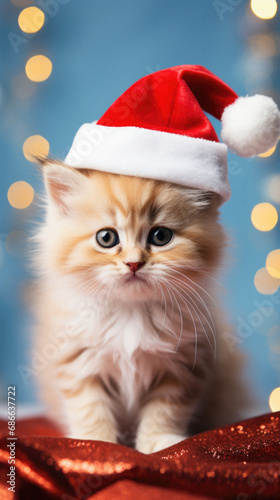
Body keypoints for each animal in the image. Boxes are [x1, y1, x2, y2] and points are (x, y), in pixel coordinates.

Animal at [32, 159, 247, 454]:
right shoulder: (77, 362)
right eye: (106, 238)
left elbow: (164, 411)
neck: (131, 312)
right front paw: (95, 444)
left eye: (160, 236)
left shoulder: (183, 365)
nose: (133, 263)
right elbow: (90, 408)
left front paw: (159, 443)